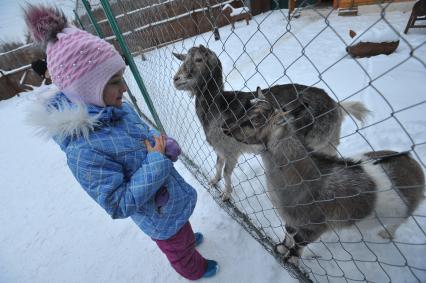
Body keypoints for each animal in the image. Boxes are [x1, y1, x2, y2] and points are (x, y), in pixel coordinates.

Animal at [173, 45, 370, 202]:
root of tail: (336, 106)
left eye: (198, 59)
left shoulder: (231, 150)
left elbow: (227, 172)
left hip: (320, 142)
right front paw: (213, 181)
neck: (218, 105)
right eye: (183, 59)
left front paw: (226, 195)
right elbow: (218, 166)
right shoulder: (221, 149)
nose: (176, 79)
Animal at [221, 87, 424, 266]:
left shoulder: (315, 226)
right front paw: (280, 249)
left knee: (399, 221)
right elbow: (289, 234)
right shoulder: (292, 220)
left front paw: (292, 260)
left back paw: (386, 234)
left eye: (253, 121)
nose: (225, 128)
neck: (307, 177)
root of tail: (413, 163)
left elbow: (299, 243)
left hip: (405, 210)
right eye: (245, 111)